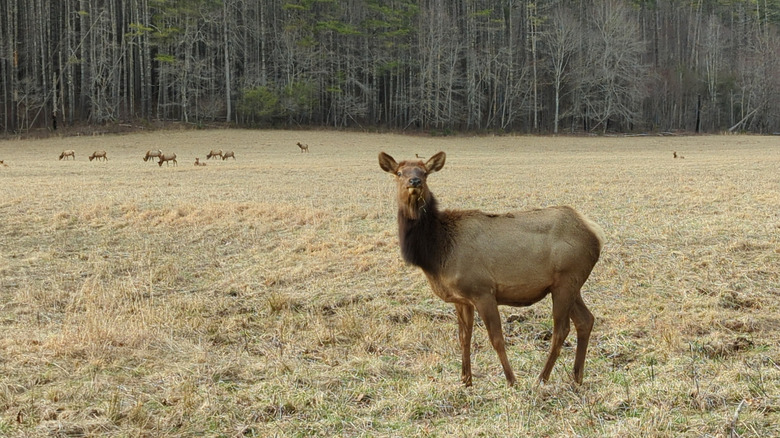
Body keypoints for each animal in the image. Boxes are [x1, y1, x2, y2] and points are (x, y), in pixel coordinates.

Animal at [378, 151, 605, 387]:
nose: (414, 182)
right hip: (569, 285)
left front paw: (512, 381)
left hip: (566, 280)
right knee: (585, 320)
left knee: (562, 329)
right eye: (399, 172)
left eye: (424, 172)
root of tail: (596, 233)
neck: (437, 252)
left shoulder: (482, 290)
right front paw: (466, 381)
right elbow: (464, 338)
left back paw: (542, 378)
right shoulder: (461, 299)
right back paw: (576, 377)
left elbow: (496, 338)